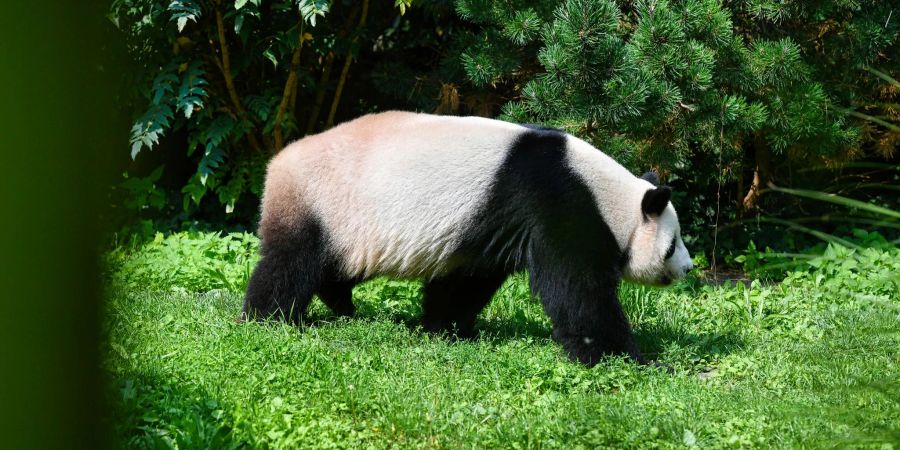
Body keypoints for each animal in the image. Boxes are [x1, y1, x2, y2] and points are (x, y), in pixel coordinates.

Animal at [243, 111, 692, 366]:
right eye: (672, 244)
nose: (688, 268)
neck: (609, 196)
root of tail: (277, 162)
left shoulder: (488, 225)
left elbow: (467, 279)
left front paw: (445, 328)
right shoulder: (558, 203)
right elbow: (577, 290)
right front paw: (631, 359)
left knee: (336, 267)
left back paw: (341, 304)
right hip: (323, 201)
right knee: (291, 263)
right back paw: (268, 319)